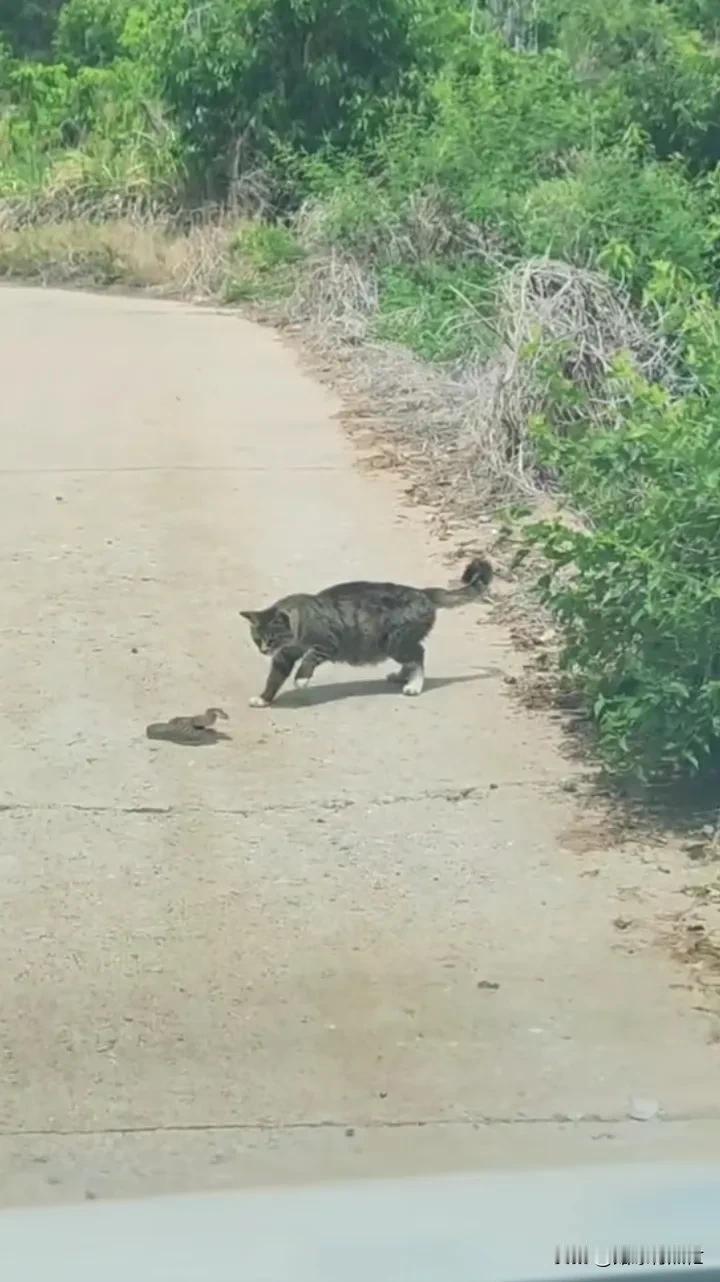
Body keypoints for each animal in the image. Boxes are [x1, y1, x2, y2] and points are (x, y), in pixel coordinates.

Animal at [238, 556, 489, 707]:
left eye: (272, 638)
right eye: (257, 639)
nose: (263, 650)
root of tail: (423, 592)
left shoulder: (326, 644)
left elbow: (309, 657)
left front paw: (301, 679)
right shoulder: (284, 655)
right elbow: (274, 677)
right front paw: (264, 698)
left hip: (394, 641)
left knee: (419, 654)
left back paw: (413, 686)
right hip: (396, 643)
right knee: (414, 656)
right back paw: (401, 676)